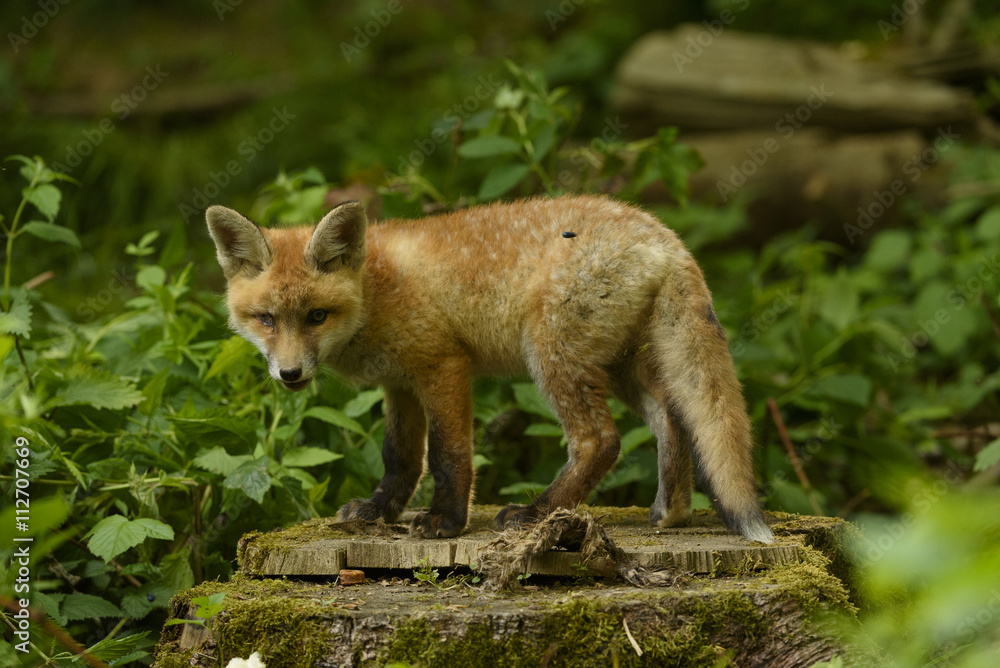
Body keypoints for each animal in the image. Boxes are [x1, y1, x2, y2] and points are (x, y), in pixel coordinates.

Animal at [207, 193, 776, 544]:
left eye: (316, 316)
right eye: (266, 319)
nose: (289, 375)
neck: (375, 290)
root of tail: (663, 234)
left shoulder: (443, 366)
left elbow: (448, 455)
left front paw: (445, 521)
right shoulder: (399, 384)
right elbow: (400, 459)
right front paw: (378, 512)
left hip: (553, 357)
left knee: (601, 441)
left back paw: (537, 513)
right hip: (620, 370)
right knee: (672, 420)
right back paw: (669, 513)